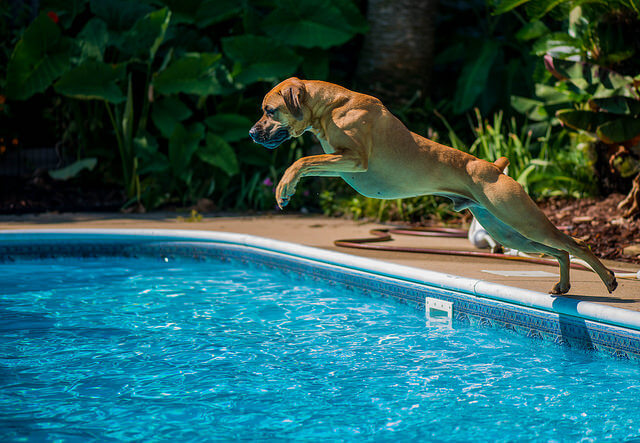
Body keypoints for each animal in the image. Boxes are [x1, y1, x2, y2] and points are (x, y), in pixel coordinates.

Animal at [248, 78, 616, 296]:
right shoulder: (339, 161)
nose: (252, 133)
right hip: (510, 232)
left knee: (577, 244)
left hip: (523, 219)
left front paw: (284, 186)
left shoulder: (353, 159)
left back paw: (609, 279)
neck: (332, 104)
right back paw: (564, 285)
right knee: (561, 251)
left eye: (269, 111)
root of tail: (494, 168)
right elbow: (310, 162)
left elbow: (302, 160)